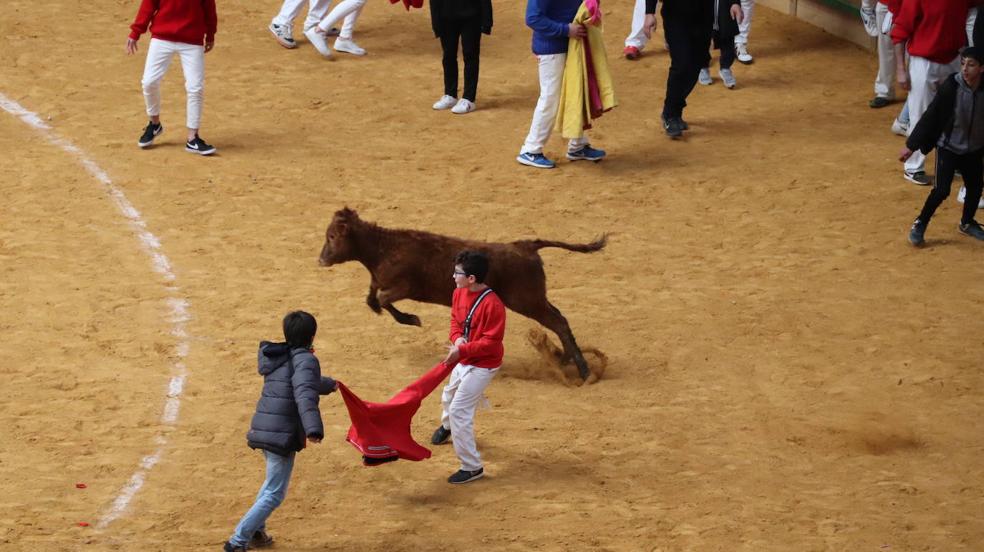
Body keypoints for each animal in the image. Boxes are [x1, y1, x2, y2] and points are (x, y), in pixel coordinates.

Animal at [318, 207, 608, 380]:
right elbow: (371, 297)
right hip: (535, 299)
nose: (321, 260)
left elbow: (381, 300)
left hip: (527, 300)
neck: (384, 248)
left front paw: (412, 319)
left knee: (558, 321)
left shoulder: (403, 287)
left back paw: (582, 369)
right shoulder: (379, 281)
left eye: (332, 236)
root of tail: (525, 246)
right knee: (560, 319)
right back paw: (566, 358)